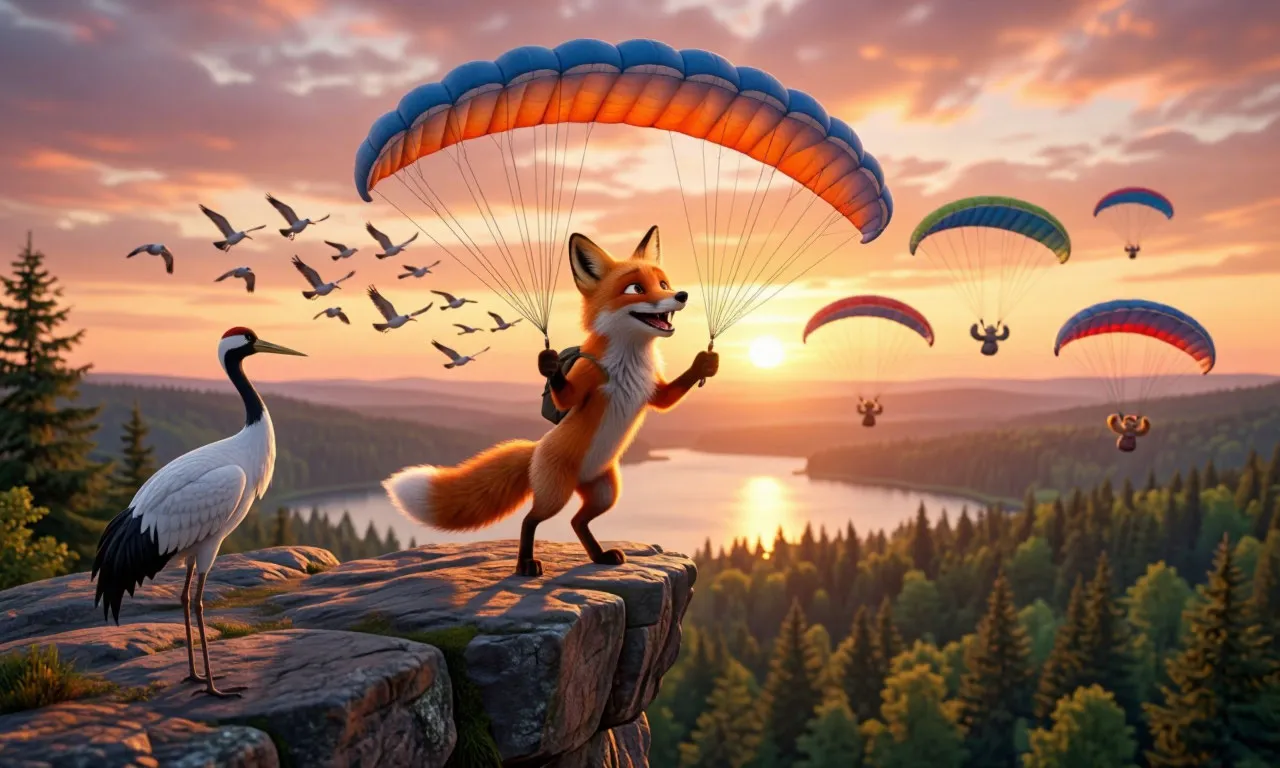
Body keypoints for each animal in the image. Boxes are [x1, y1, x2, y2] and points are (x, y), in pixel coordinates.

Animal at [382, 225, 718, 576]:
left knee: (577, 521)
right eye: (636, 288)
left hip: (606, 492)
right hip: (556, 493)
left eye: (663, 284)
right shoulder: (589, 373)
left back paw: (600, 556)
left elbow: (667, 400)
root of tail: (536, 450)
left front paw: (705, 364)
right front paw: (550, 365)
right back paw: (525, 565)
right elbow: (567, 394)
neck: (631, 360)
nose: (681, 295)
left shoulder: (653, 390)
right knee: (530, 520)